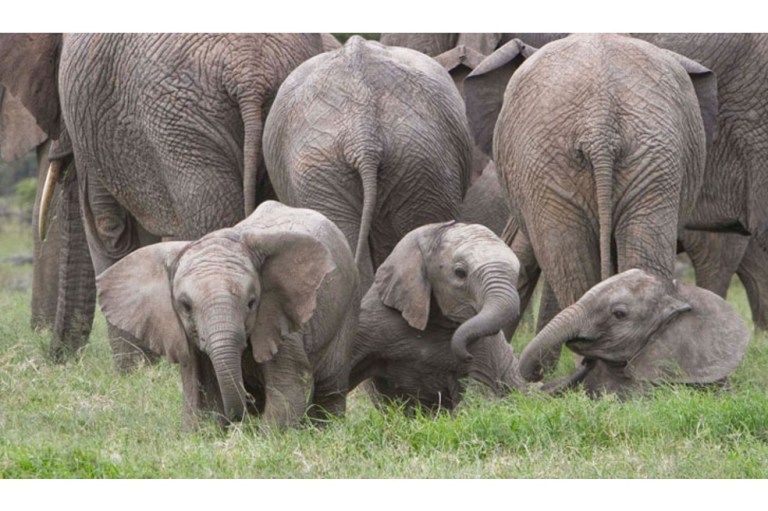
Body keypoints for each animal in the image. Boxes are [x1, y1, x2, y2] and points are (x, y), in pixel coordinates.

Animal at [0, 33, 325, 367]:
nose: (52, 358)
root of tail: (250, 75)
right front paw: (149, 367)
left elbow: (109, 227)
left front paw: (134, 370)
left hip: (182, 128)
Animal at [96, 201, 359, 429]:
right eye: (185, 306)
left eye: (252, 303)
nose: (247, 404)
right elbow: (201, 403)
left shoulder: (279, 318)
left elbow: (290, 388)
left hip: (346, 311)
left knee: (331, 387)